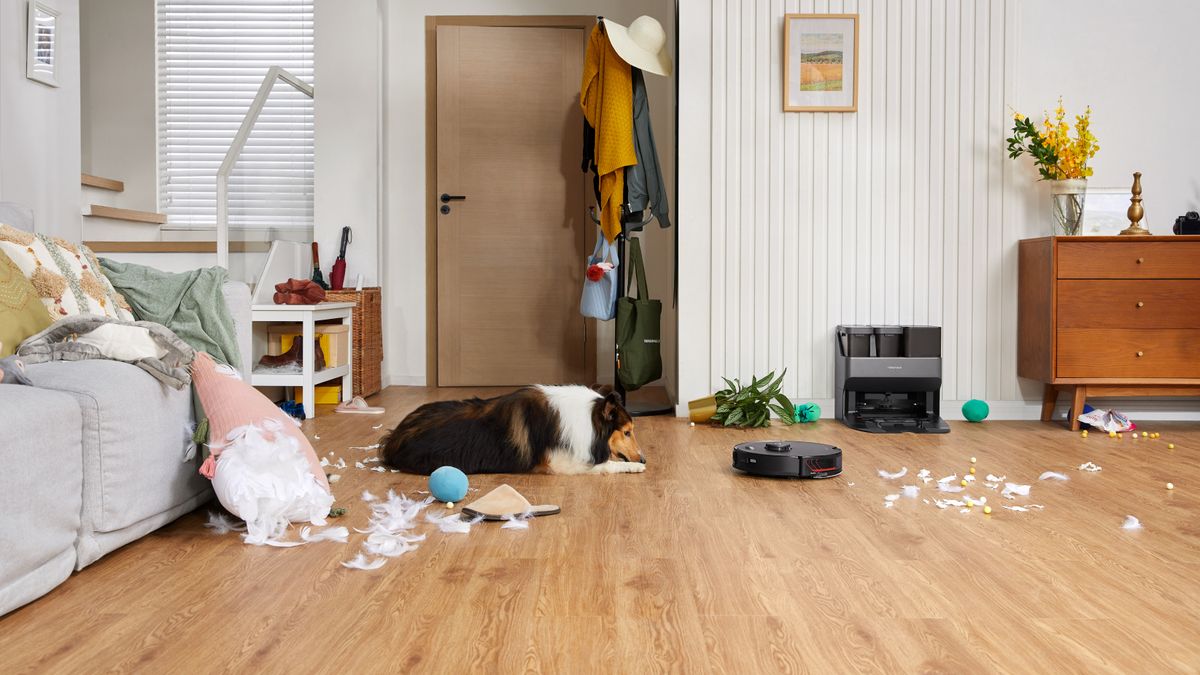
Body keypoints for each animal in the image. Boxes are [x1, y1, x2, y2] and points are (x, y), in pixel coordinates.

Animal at [384, 384, 648, 473]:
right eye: (627, 432)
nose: (644, 459)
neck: (587, 418)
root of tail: (393, 436)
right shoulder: (561, 463)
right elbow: (607, 464)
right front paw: (635, 467)